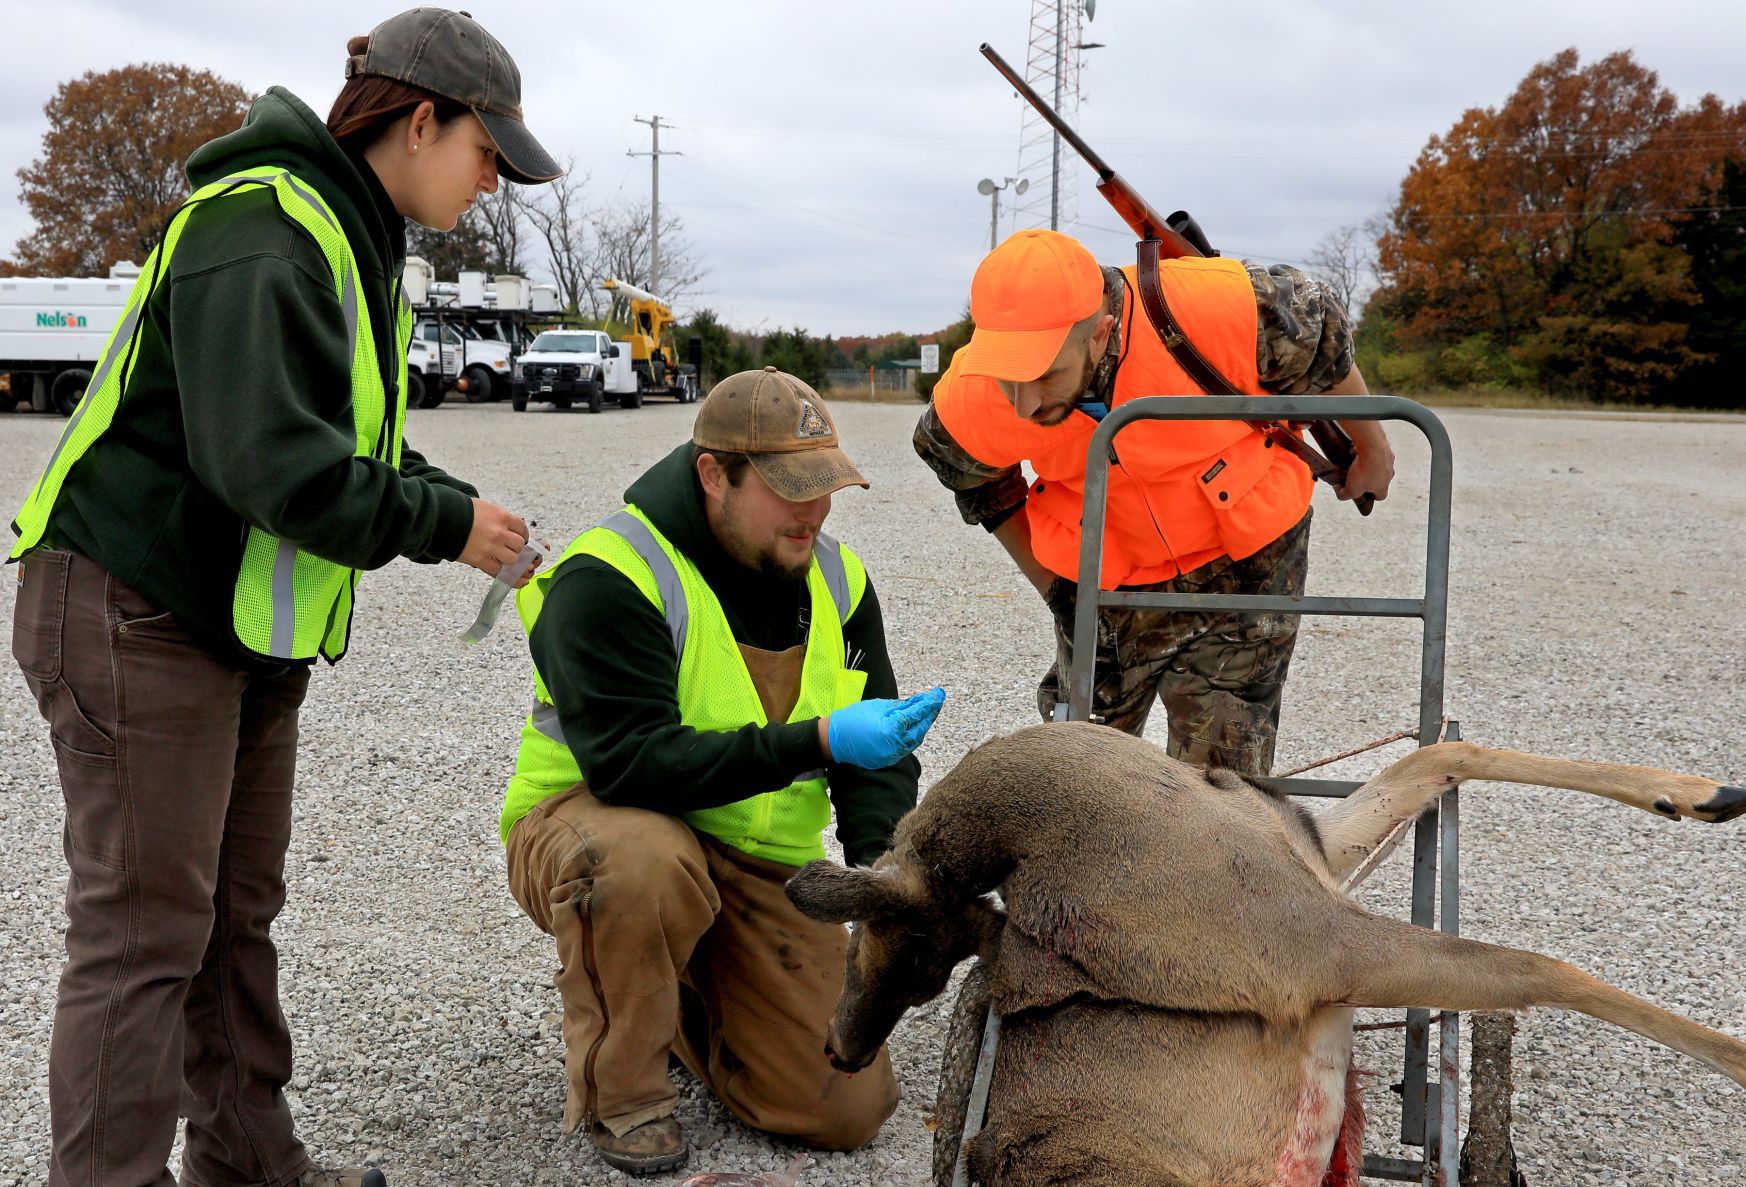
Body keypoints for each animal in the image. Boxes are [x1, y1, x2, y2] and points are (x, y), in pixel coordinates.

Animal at [792, 719, 1746, 1187]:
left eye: (922, 972)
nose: (840, 1050)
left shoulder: (1314, 865)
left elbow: (1442, 750)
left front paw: (1703, 792)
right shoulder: (1305, 948)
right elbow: (1539, 967)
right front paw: (1740, 1058)